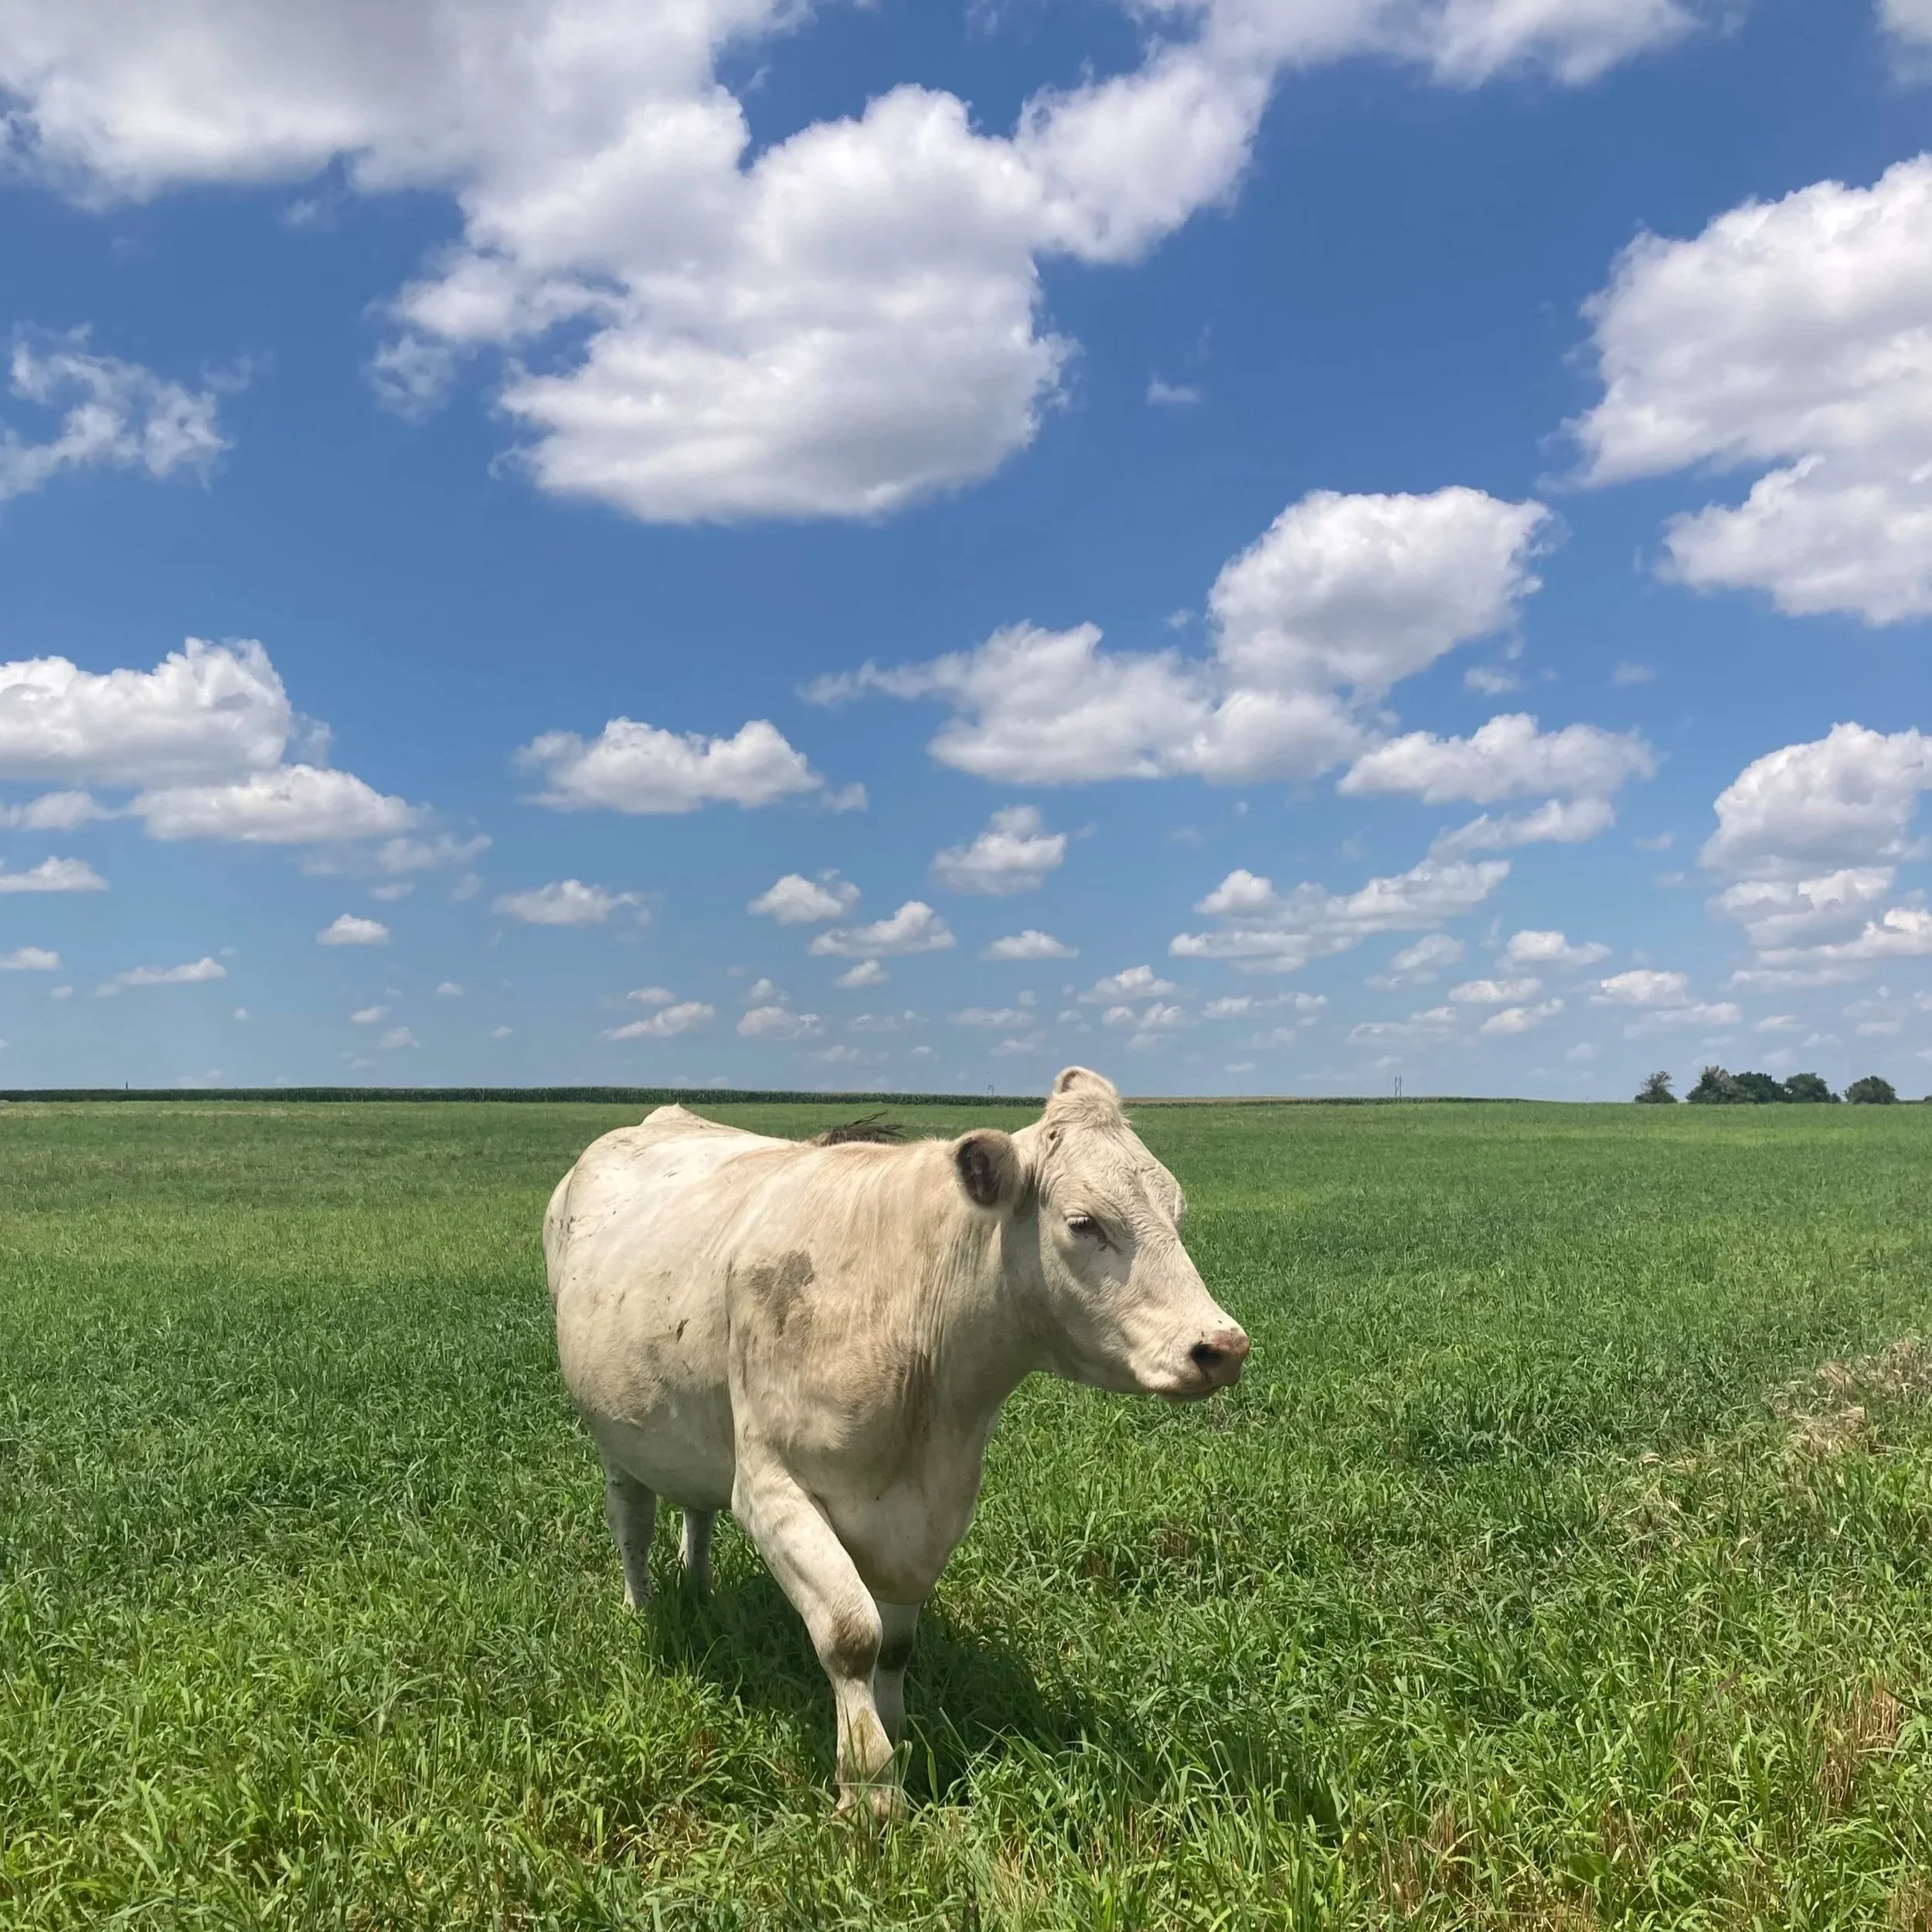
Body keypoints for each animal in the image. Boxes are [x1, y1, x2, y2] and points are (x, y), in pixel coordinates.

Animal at [543, 1066, 1249, 1817]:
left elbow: (898, 1643)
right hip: (614, 1435)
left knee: (693, 1509)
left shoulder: (936, 1506)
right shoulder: (769, 1490)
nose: (1222, 1347)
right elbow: (853, 1635)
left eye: (1176, 1215)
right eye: (1084, 1223)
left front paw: (899, 1732)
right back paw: (645, 1607)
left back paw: (698, 1588)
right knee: (632, 1522)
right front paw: (869, 1785)